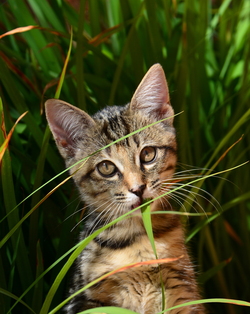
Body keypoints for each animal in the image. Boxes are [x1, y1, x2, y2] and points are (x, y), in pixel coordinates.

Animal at [45, 64, 205, 314]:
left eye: (148, 154)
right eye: (106, 168)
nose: (138, 188)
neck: (139, 239)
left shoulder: (183, 290)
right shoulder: (86, 298)